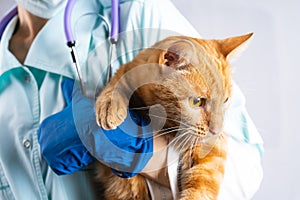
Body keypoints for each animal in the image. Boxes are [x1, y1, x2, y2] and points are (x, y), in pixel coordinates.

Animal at [94, 32, 253, 199]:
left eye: (225, 100)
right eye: (196, 101)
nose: (216, 130)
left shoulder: (211, 148)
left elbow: (201, 187)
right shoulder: (129, 70)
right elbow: (118, 80)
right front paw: (110, 105)